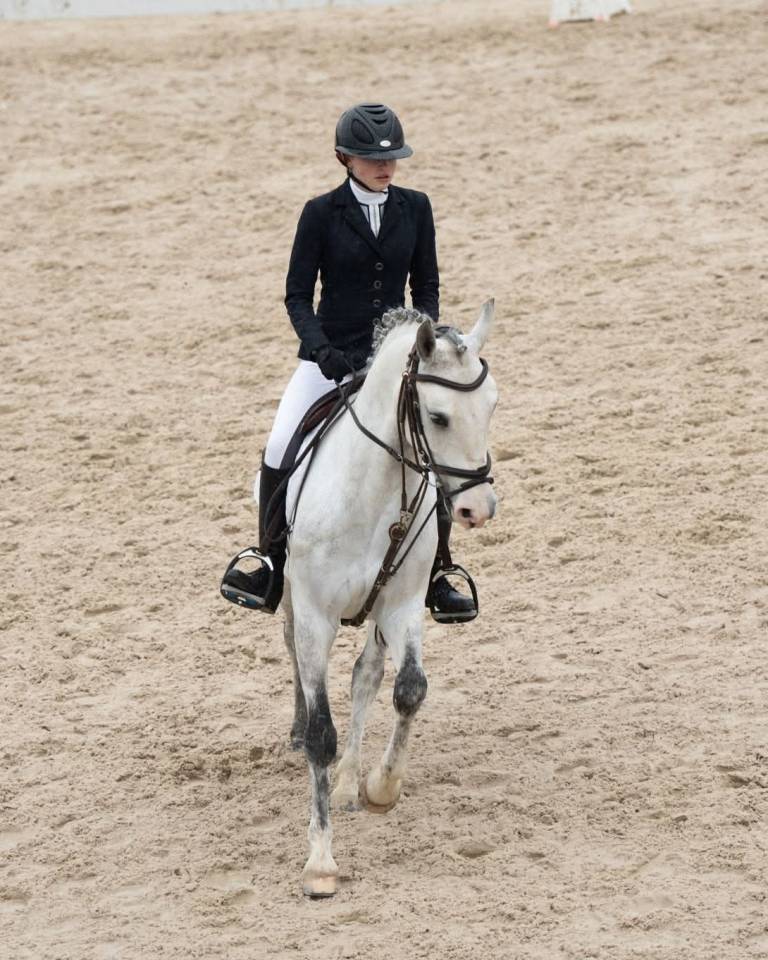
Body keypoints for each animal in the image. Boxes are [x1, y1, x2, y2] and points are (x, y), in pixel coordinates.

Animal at [276, 301, 498, 897]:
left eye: (491, 407)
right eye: (438, 417)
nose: (477, 509)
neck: (374, 493)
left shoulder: (400, 606)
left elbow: (408, 690)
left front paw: (380, 787)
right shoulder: (316, 615)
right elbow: (322, 733)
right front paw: (320, 862)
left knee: (366, 674)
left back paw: (350, 780)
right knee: (295, 653)